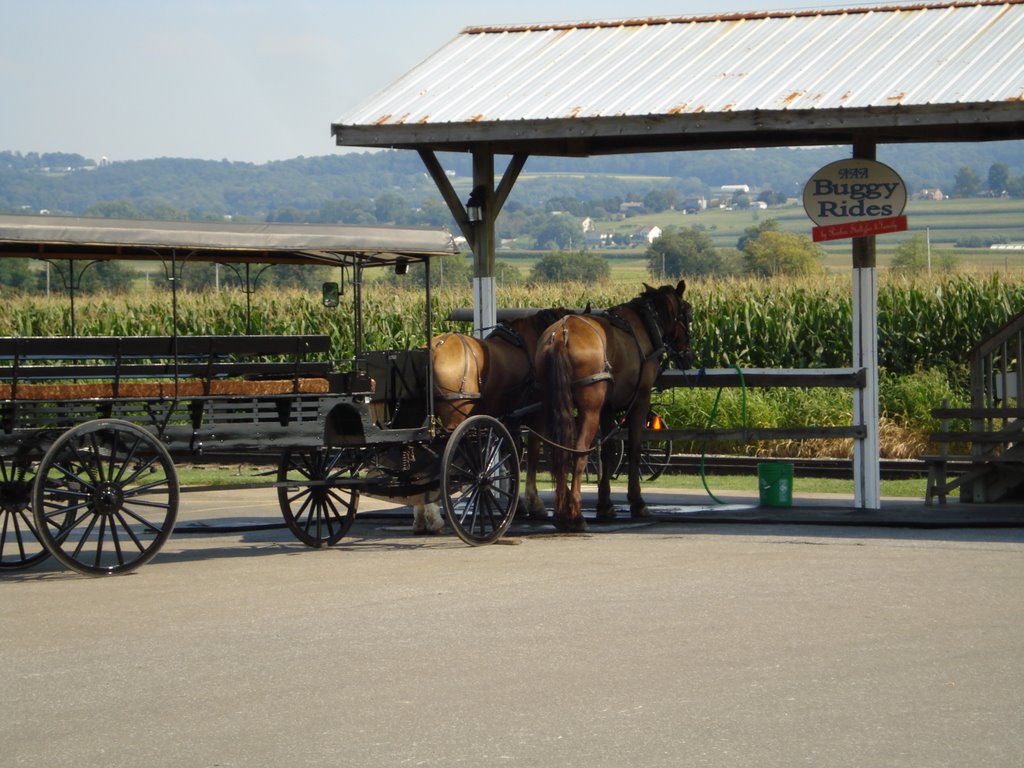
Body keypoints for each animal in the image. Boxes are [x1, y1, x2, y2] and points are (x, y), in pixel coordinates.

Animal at [415, 309, 577, 536]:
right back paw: (434, 517)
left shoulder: (510, 419)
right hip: (454, 422)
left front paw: (518, 504)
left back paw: (422, 517)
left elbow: (513, 455)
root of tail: (435, 349)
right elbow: (531, 454)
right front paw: (534, 503)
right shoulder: (535, 418)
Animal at [532, 284, 692, 536]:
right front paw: (637, 502)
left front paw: (605, 504)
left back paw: (561, 511)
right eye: (688, 312)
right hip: (589, 411)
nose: (689, 354)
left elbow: (608, 453)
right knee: (578, 452)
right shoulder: (640, 401)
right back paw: (574, 514)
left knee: (556, 451)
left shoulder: (607, 408)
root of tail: (561, 336)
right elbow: (634, 449)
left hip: (552, 405)